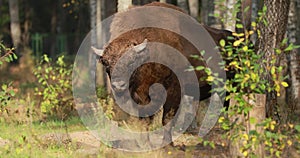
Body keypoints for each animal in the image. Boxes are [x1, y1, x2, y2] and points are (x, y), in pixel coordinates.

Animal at [92, 1, 233, 148]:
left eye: (132, 61)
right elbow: (145, 118)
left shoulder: (173, 90)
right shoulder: (141, 95)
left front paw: (167, 144)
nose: (118, 85)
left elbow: (167, 118)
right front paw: (145, 144)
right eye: (106, 63)